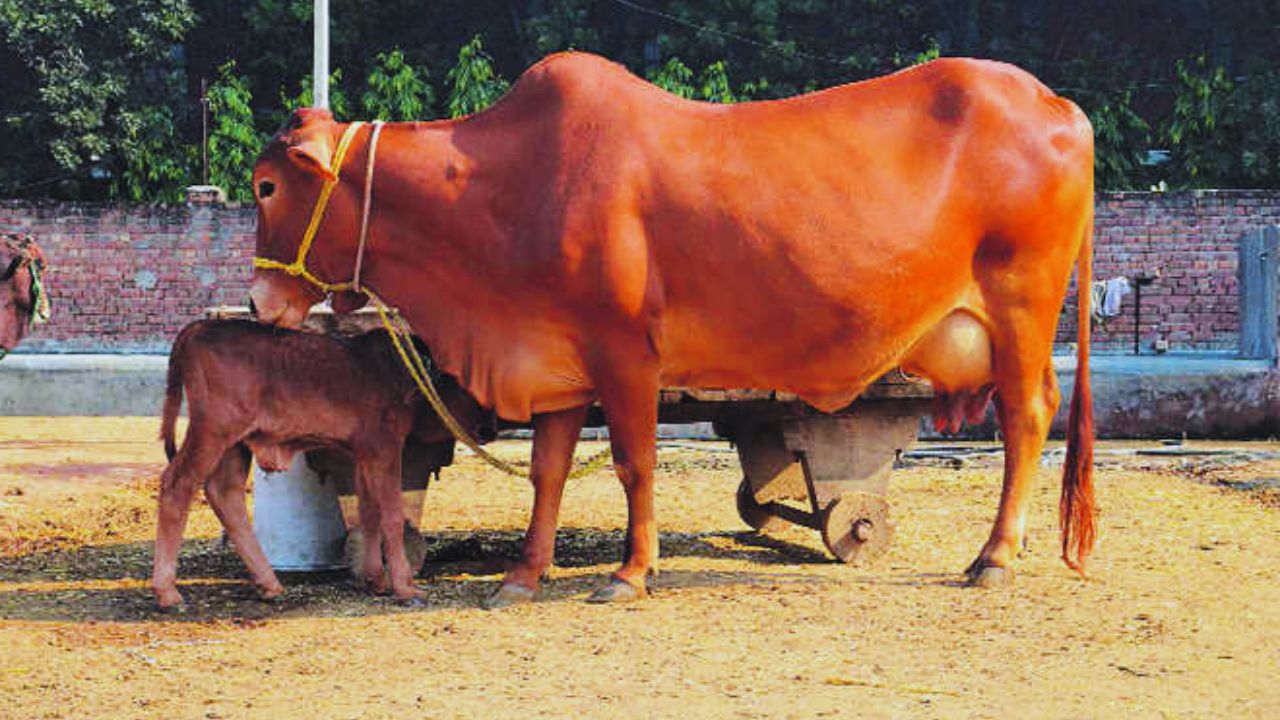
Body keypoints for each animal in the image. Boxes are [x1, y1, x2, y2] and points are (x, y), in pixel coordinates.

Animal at [151, 319, 489, 610]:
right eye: (472, 387)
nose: (493, 424)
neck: (407, 370)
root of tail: (199, 326)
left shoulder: (364, 452)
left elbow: (370, 511)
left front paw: (375, 579)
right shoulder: (385, 447)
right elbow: (392, 514)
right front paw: (405, 587)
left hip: (237, 444)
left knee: (225, 494)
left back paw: (269, 583)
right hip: (213, 430)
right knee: (177, 484)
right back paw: (167, 592)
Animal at [248, 53, 1096, 607]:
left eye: (265, 186)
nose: (257, 302)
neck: (506, 189)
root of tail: (1060, 104)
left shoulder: (625, 354)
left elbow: (634, 465)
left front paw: (630, 572)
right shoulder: (558, 361)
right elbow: (548, 472)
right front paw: (524, 574)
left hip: (1022, 304)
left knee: (1027, 417)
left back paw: (994, 556)